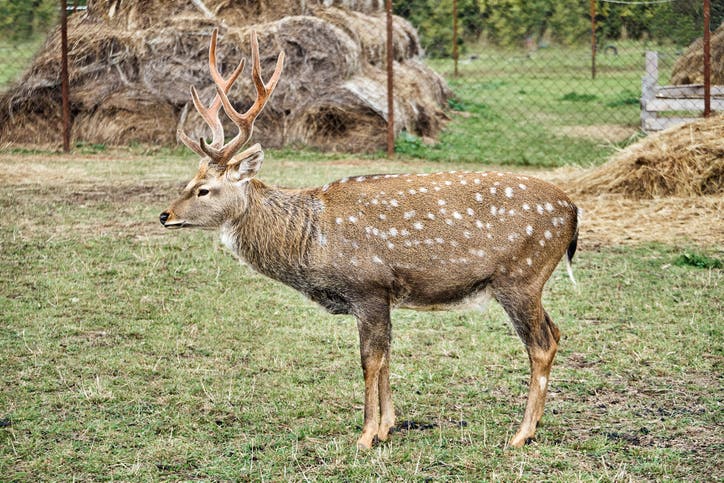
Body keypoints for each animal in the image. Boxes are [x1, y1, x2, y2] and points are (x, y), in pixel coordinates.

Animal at [161, 29, 580, 450]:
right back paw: (531, 426)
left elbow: (370, 360)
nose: (165, 215)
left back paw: (521, 434)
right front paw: (388, 425)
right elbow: (387, 356)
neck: (309, 241)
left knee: (540, 343)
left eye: (204, 190)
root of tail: (574, 211)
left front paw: (365, 436)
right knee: (556, 332)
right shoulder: (382, 297)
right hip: (528, 281)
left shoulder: (368, 286)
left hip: (520, 276)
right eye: (189, 181)